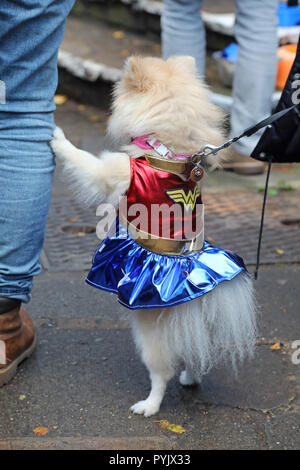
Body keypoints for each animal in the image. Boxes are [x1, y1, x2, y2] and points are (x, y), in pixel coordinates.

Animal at [50, 56, 256, 418]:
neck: (168, 146)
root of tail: (193, 293)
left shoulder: (114, 172)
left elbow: (82, 160)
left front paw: (58, 138)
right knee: (194, 354)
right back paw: (190, 377)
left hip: (150, 334)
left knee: (162, 372)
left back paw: (149, 405)